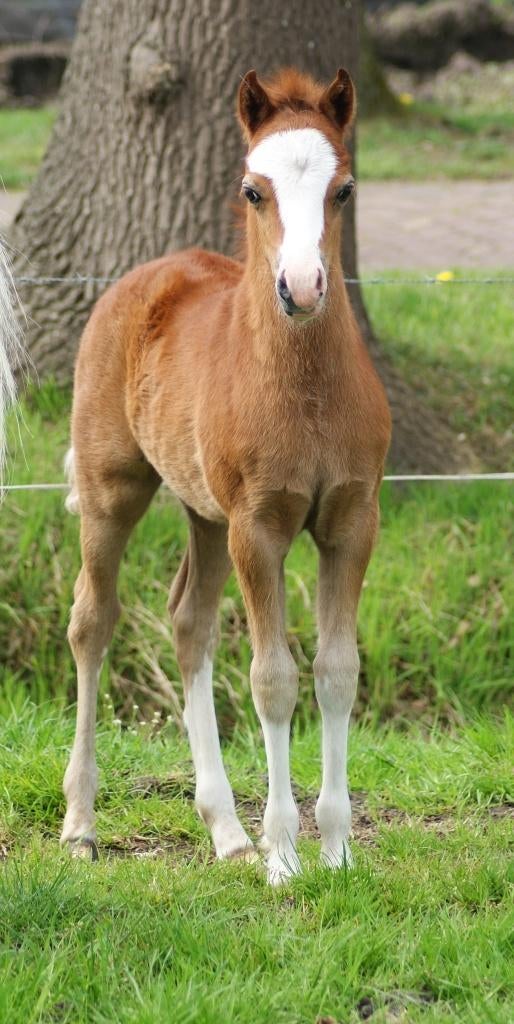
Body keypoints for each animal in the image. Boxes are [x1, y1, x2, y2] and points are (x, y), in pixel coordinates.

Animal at [62, 67, 391, 884]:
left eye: (344, 190)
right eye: (252, 189)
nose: (301, 286)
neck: (307, 393)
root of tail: (141, 276)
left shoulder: (352, 521)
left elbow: (337, 670)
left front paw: (336, 850)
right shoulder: (258, 527)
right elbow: (272, 678)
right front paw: (284, 857)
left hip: (204, 513)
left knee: (189, 623)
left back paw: (225, 830)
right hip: (115, 488)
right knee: (92, 621)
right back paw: (80, 824)